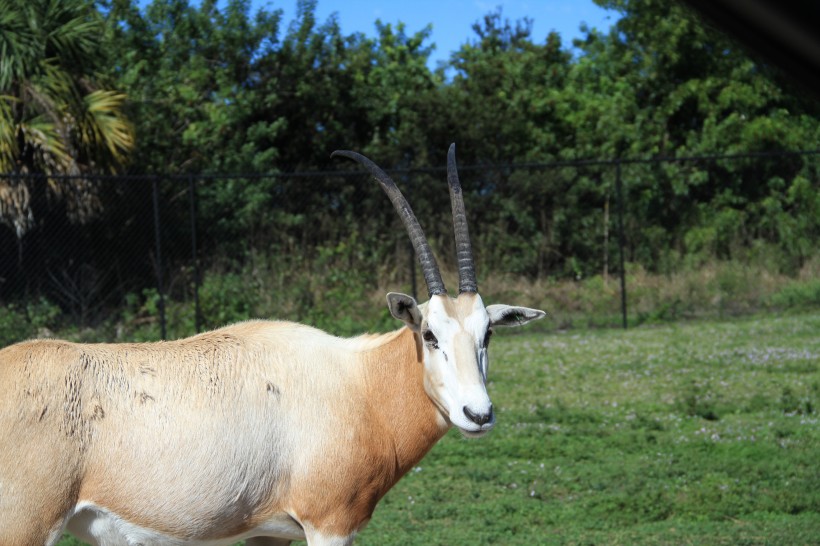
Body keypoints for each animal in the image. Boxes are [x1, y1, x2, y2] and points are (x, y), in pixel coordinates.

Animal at [3, 144, 548, 544]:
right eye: (430, 334)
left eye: (487, 332)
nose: (478, 414)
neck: (361, 384)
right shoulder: (329, 524)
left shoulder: (271, 532)